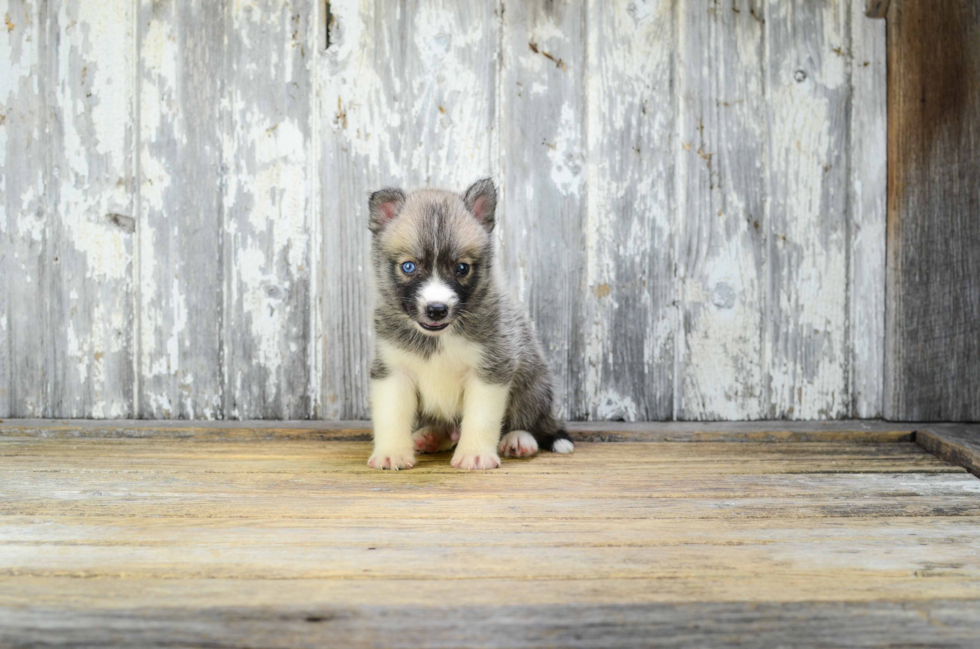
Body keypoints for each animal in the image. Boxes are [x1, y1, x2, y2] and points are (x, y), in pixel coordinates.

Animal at [368, 177, 576, 470]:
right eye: (408, 266)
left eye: (462, 268)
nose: (436, 310)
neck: (439, 338)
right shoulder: (393, 370)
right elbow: (391, 416)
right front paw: (392, 452)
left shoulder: (490, 369)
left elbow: (481, 418)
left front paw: (475, 454)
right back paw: (433, 436)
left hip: (533, 382)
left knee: (528, 421)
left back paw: (519, 439)